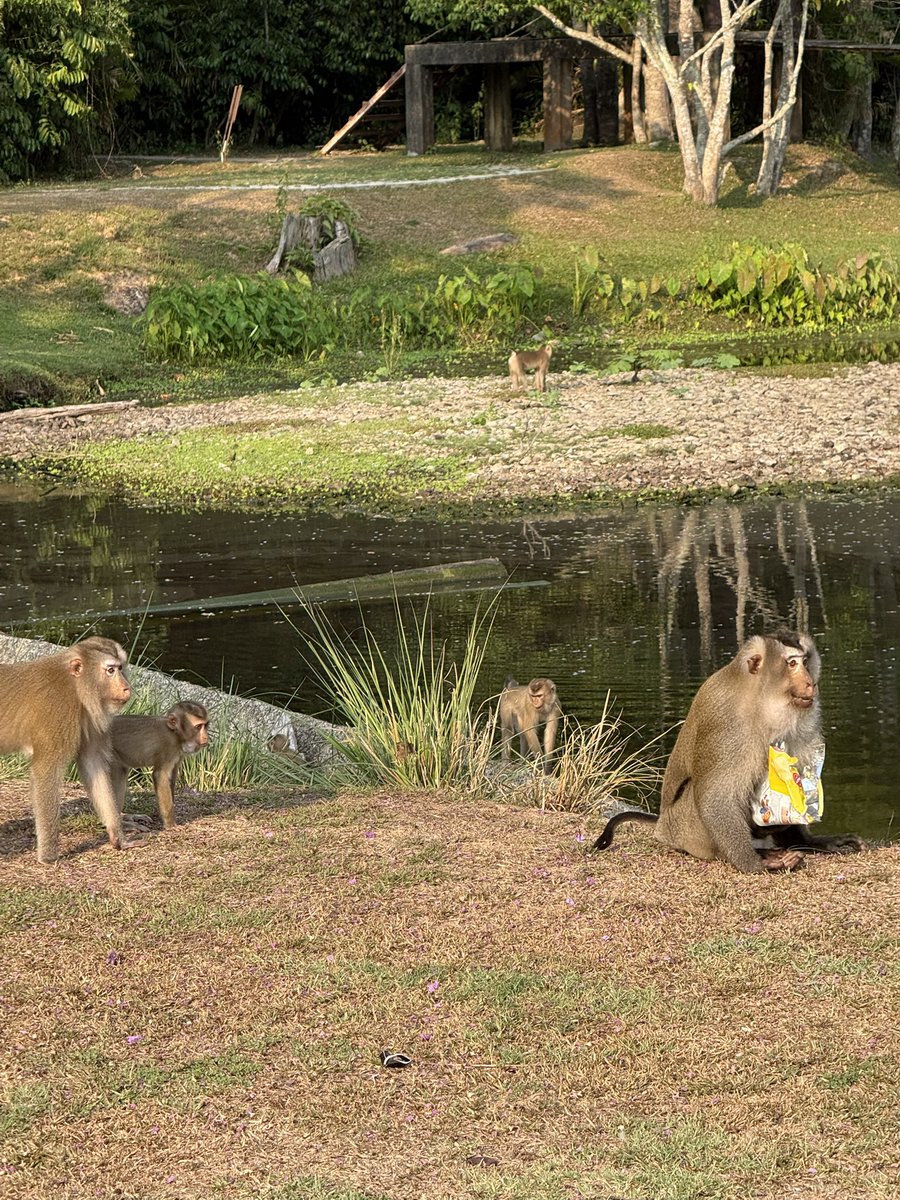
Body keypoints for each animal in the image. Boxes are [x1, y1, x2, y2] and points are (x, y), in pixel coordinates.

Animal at [0, 637, 138, 864]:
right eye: (110, 670)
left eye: (121, 668)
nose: (127, 687)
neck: (76, 687)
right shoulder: (58, 710)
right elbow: (46, 770)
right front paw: (47, 856)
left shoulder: (89, 716)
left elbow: (93, 765)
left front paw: (117, 835)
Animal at [108, 701, 209, 829]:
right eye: (198, 727)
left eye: (206, 725)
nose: (206, 737)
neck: (175, 734)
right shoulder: (169, 746)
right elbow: (160, 776)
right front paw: (170, 824)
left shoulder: (178, 753)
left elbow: (171, 776)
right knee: (118, 773)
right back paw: (121, 824)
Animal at [592, 631, 864, 874]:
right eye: (792, 663)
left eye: (806, 661)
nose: (810, 683)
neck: (758, 699)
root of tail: (662, 826)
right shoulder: (728, 723)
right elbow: (715, 796)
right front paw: (752, 864)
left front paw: (811, 841)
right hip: (682, 829)